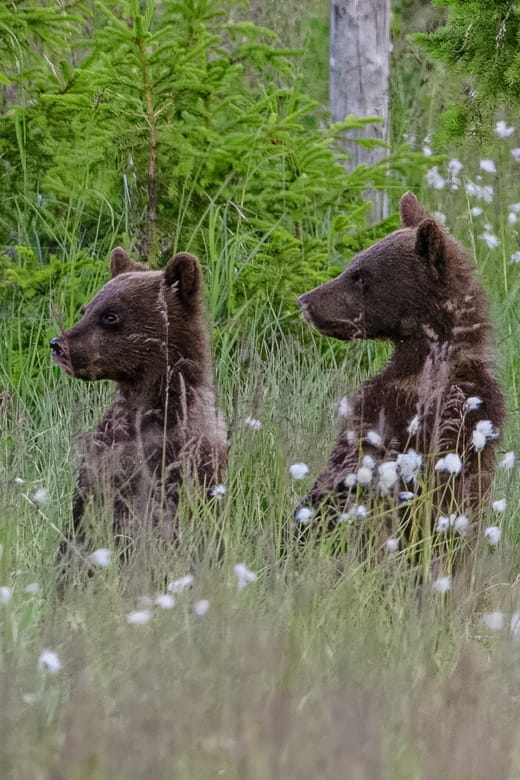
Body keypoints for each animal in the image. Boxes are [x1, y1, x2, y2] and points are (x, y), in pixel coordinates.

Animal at [50, 248, 228, 555]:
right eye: (86, 310)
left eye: (110, 316)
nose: (58, 345)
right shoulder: (107, 458)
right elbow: (85, 516)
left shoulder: (186, 460)